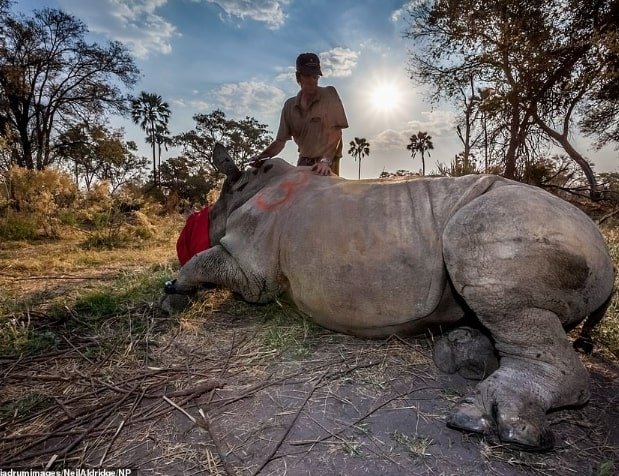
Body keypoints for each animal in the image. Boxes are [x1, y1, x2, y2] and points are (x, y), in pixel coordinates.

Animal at [163, 144, 616, 450]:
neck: (243, 188)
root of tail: (605, 251)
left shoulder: (250, 265)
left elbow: (205, 262)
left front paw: (170, 297)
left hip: (514, 219)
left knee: (478, 249)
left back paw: (484, 417)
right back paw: (461, 353)